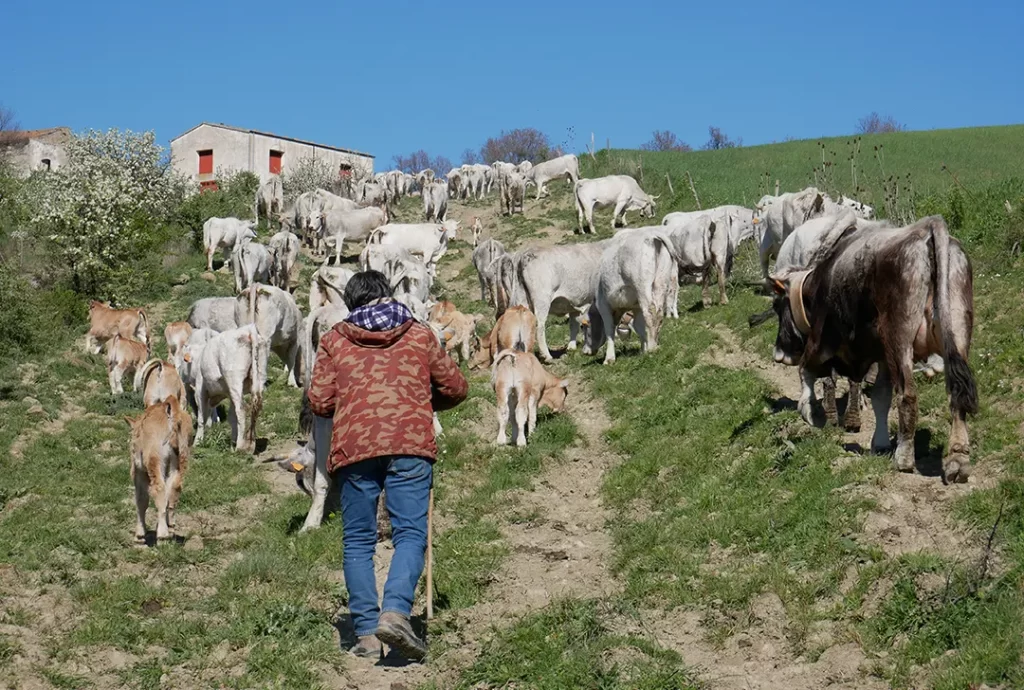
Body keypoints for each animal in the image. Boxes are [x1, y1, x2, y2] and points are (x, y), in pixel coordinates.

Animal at [124, 395, 192, 540]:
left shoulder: (138, 471)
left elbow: (141, 499)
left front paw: (140, 533)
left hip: (154, 461)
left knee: (159, 489)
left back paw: (162, 535)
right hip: (181, 458)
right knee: (174, 488)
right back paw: (170, 528)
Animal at [589, 231, 675, 362]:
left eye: (584, 326)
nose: (586, 351)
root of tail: (651, 236)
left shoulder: (603, 305)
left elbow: (609, 329)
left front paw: (609, 358)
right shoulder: (636, 307)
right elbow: (639, 327)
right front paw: (643, 350)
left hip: (642, 285)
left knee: (650, 312)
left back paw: (652, 348)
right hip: (661, 281)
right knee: (659, 314)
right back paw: (655, 344)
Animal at [770, 218, 974, 481]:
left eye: (777, 305)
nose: (779, 353)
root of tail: (926, 230)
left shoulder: (822, 341)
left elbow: (806, 369)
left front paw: (811, 411)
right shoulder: (882, 356)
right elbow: (881, 397)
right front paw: (880, 442)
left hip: (900, 339)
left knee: (908, 395)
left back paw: (904, 458)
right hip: (957, 332)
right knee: (956, 395)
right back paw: (957, 459)